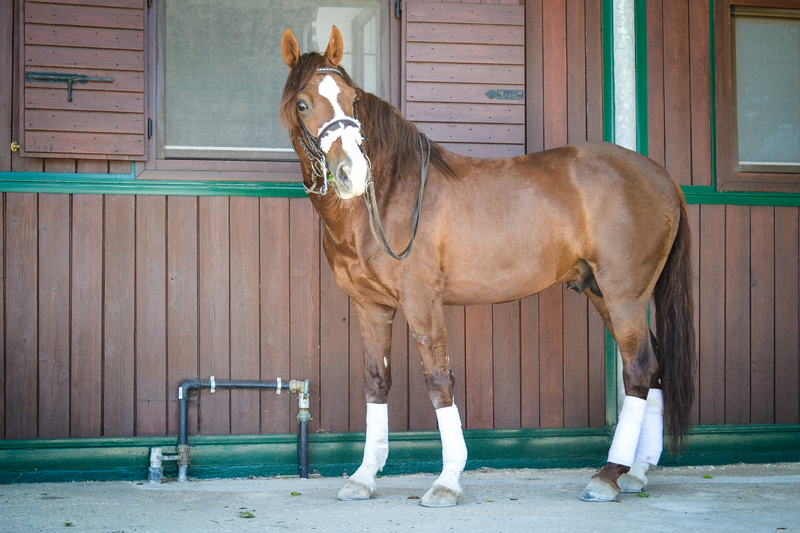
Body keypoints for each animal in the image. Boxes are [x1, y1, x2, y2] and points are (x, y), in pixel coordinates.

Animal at [280, 25, 694, 508]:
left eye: (352, 99)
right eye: (304, 103)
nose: (352, 172)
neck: (387, 194)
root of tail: (660, 176)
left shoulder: (421, 301)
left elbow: (438, 380)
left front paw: (447, 481)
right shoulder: (371, 306)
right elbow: (376, 381)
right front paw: (363, 477)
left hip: (625, 294)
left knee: (639, 368)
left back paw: (607, 476)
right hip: (606, 295)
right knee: (653, 367)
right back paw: (637, 472)